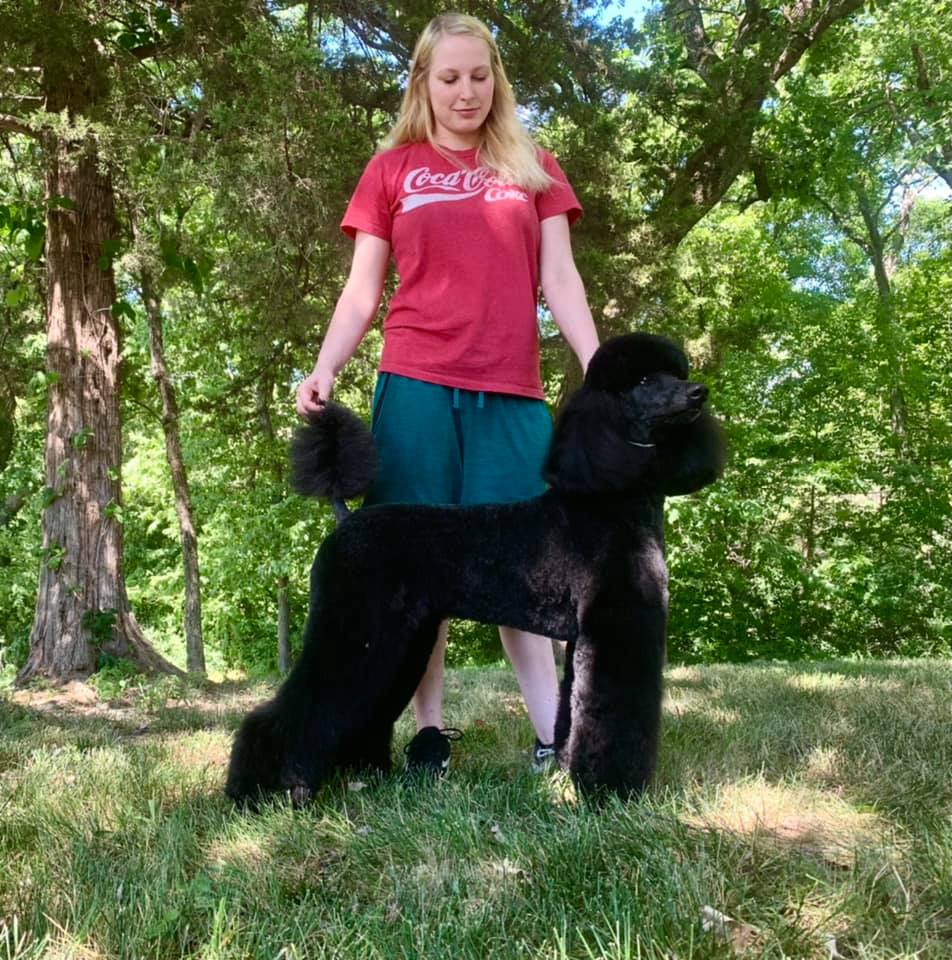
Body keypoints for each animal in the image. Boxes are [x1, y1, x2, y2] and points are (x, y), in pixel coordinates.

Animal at [226, 333, 725, 806]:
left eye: (676, 373)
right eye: (643, 380)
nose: (698, 393)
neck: (610, 493)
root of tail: (344, 518)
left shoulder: (582, 635)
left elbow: (574, 706)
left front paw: (568, 769)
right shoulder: (617, 620)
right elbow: (613, 711)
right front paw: (613, 793)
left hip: (401, 635)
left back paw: (361, 773)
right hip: (354, 626)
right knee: (295, 710)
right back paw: (263, 793)